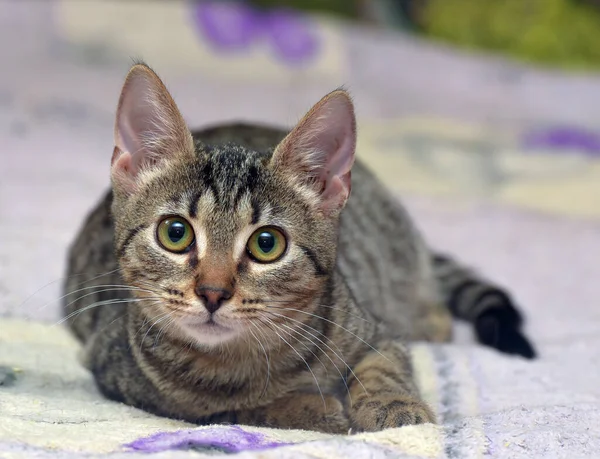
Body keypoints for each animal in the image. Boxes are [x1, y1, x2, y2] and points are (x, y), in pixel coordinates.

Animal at [63, 63, 536, 434]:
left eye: (266, 244)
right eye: (175, 233)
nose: (213, 292)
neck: (241, 359)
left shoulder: (372, 330)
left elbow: (384, 365)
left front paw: (394, 405)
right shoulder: (120, 372)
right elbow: (231, 410)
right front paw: (310, 407)